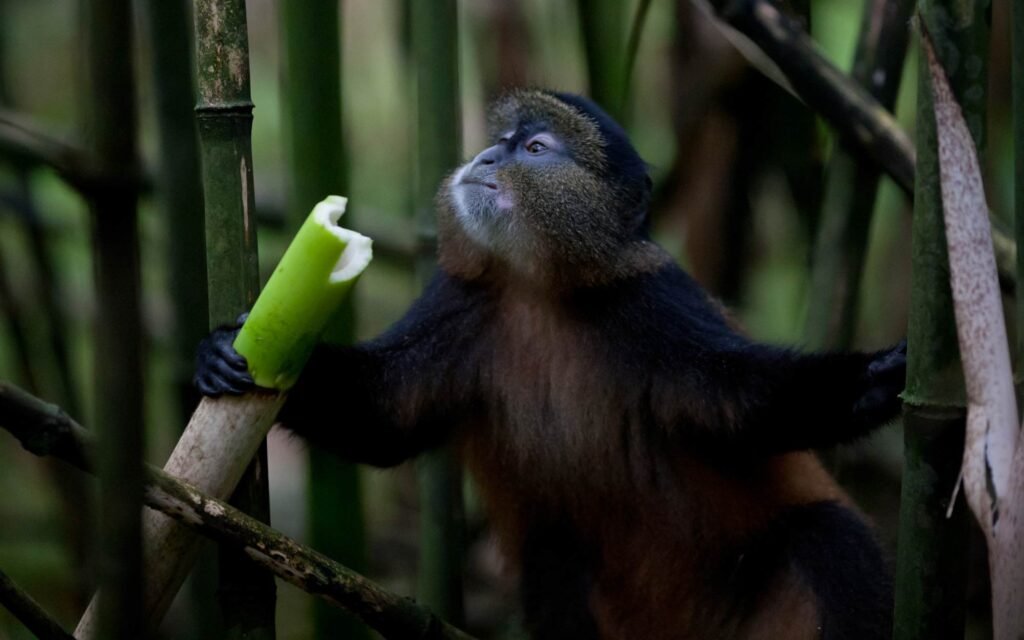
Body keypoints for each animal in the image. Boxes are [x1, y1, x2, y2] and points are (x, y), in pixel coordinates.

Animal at [195, 89, 905, 640]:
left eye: (534, 149)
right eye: (499, 141)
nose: (484, 158)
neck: (540, 290)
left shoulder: (657, 305)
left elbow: (743, 401)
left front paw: (877, 379)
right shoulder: (460, 303)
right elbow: (384, 416)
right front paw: (222, 353)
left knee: (830, 538)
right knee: (555, 563)